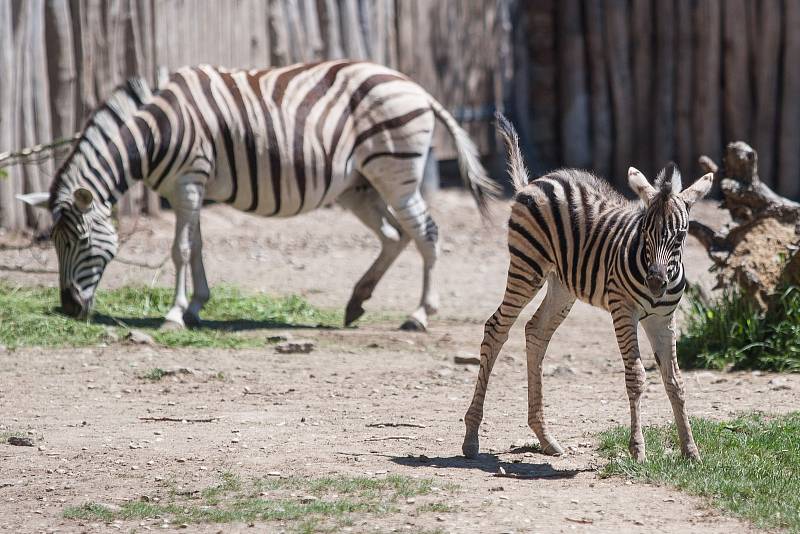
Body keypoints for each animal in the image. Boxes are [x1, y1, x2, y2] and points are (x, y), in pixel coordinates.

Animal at [462, 114, 712, 464]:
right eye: (644, 232)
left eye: (681, 236)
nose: (655, 283)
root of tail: (535, 181)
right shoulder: (624, 311)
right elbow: (636, 377)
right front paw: (638, 450)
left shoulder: (663, 319)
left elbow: (675, 381)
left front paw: (691, 451)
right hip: (527, 266)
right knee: (497, 328)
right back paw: (471, 438)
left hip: (562, 285)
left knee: (536, 332)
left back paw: (546, 439)